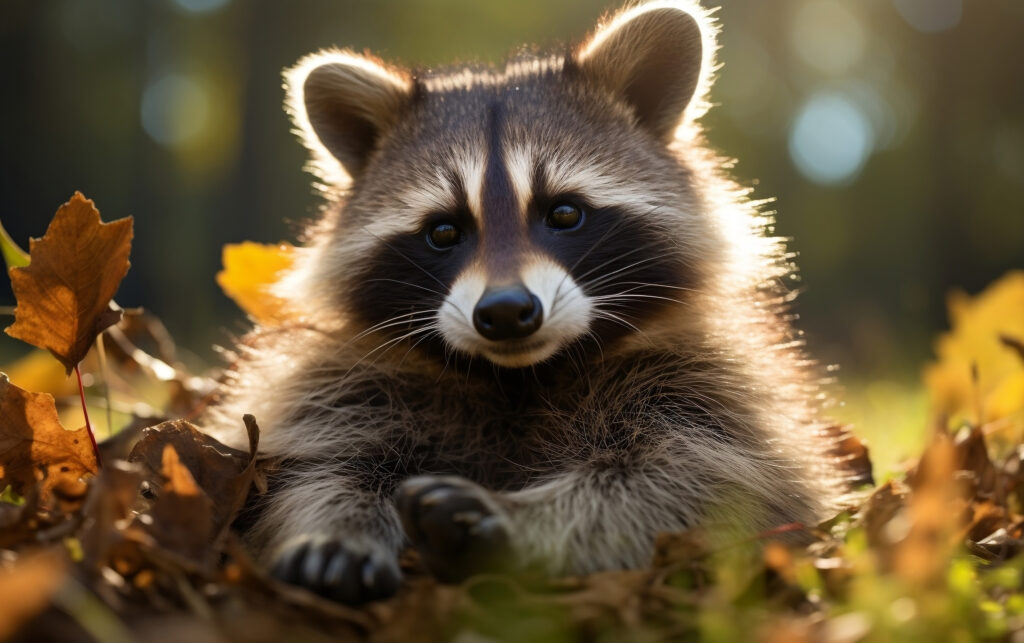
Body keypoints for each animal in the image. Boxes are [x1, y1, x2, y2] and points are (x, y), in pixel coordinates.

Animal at [211, 1, 854, 604]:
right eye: (444, 231)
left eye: (565, 213)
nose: (503, 312)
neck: (518, 375)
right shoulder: (343, 383)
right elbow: (319, 466)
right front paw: (335, 527)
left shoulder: (707, 382)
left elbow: (699, 482)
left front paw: (521, 521)